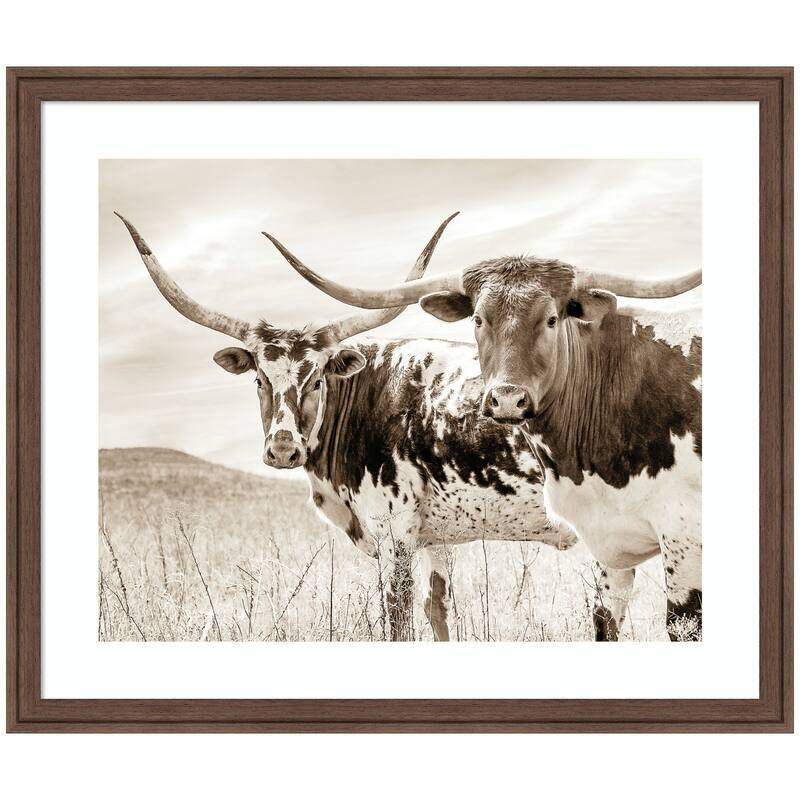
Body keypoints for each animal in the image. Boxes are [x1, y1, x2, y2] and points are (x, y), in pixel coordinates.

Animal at [116, 213, 576, 642]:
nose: (283, 449)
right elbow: (439, 612)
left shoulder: (395, 535)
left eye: (317, 380)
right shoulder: (437, 539)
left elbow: (398, 620)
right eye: (259, 379)